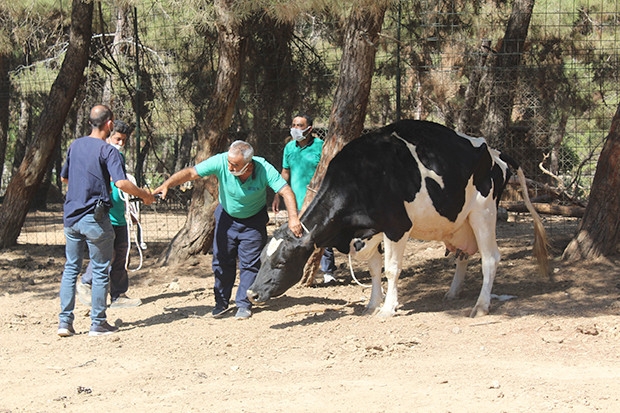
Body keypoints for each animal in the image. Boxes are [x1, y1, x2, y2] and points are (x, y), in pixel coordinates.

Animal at [247, 120, 548, 318]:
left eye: (281, 262)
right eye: (262, 258)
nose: (251, 294)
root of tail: (493, 151)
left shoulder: (396, 227)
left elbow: (392, 269)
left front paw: (388, 308)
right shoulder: (369, 232)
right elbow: (374, 270)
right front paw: (372, 304)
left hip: (483, 212)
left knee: (490, 258)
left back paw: (481, 305)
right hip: (459, 222)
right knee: (463, 255)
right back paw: (453, 292)